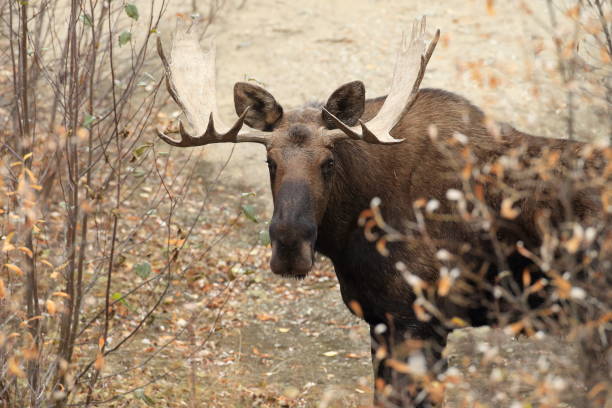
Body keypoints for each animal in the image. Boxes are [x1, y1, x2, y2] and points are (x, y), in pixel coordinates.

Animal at [157, 17, 608, 406]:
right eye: (270, 161)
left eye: (329, 162)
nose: (289, 246)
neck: (350, 238)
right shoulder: (380, 319)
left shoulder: (420, 321)